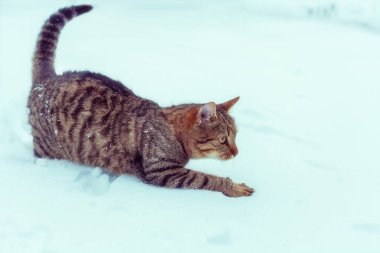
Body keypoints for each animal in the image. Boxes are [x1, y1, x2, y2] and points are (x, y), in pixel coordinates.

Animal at [28, 4, 254, 198]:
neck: (173, 132)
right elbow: (206, 179)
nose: (236, 153)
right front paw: (232, 186)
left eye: (235, 137)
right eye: (223, 140)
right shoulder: (162, 171)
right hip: (47, 149)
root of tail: (47, 79)